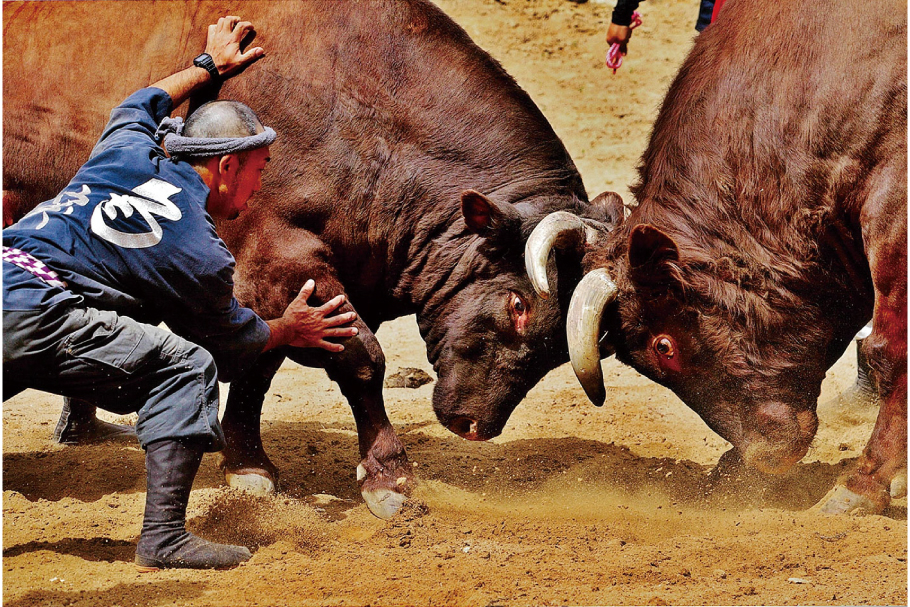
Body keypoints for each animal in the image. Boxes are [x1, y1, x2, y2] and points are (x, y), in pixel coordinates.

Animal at [3, 0, 616, 516]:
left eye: (557, 348)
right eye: (517, 306)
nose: (475, 425)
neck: (359, 114)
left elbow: (262, 362)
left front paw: (246, 461)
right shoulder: (277, 260)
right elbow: (360, 360)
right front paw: (388, 475)